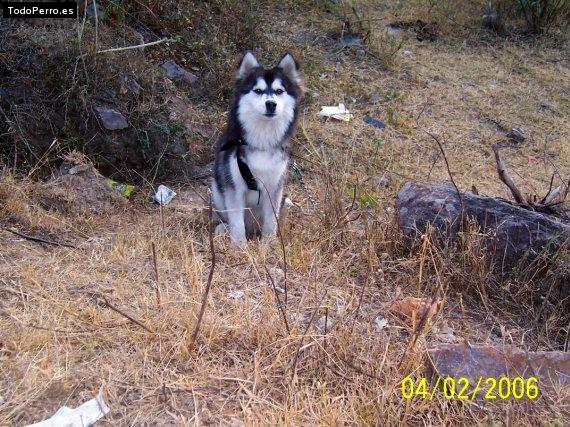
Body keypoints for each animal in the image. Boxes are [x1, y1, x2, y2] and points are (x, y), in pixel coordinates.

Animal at [211, 52, 302, 247]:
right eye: (258, 91)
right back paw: (223, 228)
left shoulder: (274, 186)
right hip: (217, 189)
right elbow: (237, 222)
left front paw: (269, 244)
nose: (271, 104)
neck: (262, 140)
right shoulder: (234, 186)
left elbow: (271, 221)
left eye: (279, 91)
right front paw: (239, 247)